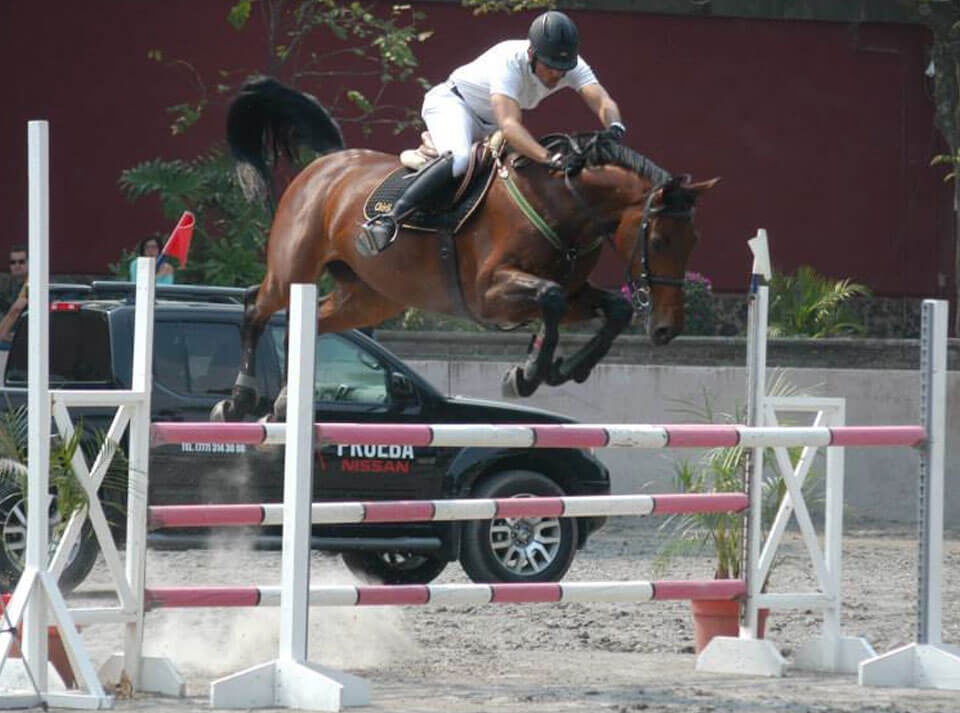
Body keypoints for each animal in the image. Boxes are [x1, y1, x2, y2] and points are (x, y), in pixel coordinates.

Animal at [211, 77, 718, 422]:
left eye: (694, 242)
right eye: (658, 240)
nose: (668, 329)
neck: (563, 203)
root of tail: (329, 164)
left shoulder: (574, 292)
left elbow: (612, 309)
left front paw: (560, 370)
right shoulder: (489, 293)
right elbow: (550, 299)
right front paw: (527, 375)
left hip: (371, 297)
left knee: (313, 321)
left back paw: (282, 402)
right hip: (293, 268)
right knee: (256, 306)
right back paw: (238, 399)